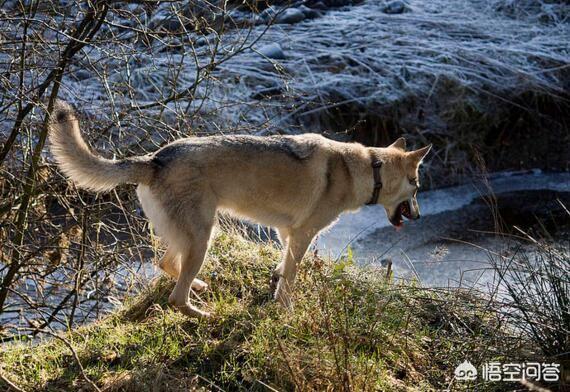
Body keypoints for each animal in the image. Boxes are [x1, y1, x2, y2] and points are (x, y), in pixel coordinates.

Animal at [48, 101, 428, 318]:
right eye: (417, 186)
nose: (420, 216)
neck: (363, 169)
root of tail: (154, 159)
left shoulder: (287, 232)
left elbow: (284, 266)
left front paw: (276, 281)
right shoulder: (303, 234)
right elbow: (291, 277)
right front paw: (285, 309)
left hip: (192, 236)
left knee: (166, 264)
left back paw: (200, 287)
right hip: (203, 236)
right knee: (175, 297)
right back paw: (204, 315)